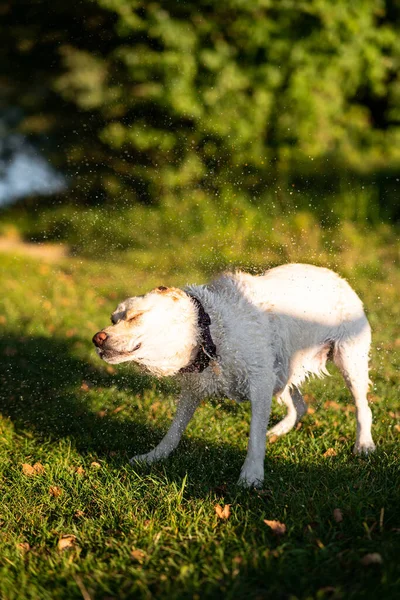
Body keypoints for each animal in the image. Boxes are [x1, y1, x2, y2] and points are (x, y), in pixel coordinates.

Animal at [93, 264, 376, 488]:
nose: (97, 338)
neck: (209, 332)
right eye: (113, 318)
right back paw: (279, 430)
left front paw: (251, 476)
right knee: (300, 405)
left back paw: (364, 445)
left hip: (349, 360)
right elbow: (173, 431)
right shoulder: (194, 389)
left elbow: (254, 438)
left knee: (363, 407)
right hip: (280, 371)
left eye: (135, 316)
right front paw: (153, 457)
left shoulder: (259, 382)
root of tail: (337, 276)